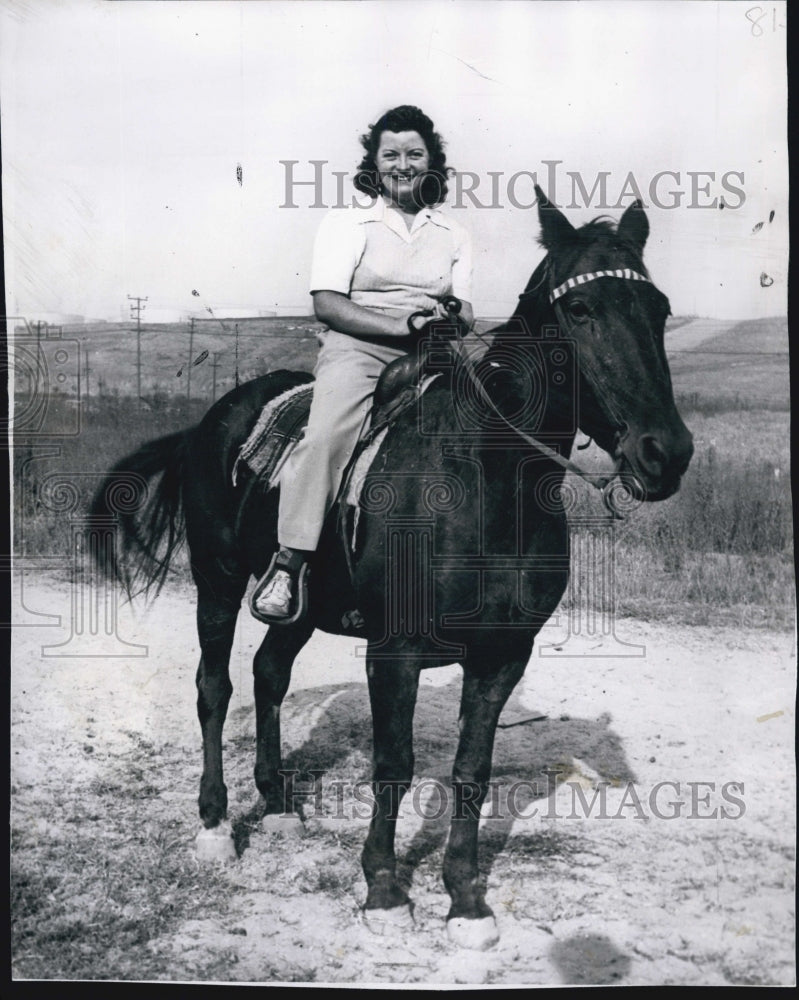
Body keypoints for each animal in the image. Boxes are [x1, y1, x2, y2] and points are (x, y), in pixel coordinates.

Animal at [94, 191, 692, 948]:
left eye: (660, 309)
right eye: (581, 310)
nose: (665, 452)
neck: (481, 479)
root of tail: (213, 419)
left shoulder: (503, 655)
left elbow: (471, 770)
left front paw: (465, 900)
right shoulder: (395, 652)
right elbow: (393, 765)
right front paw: (382, 888)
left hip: (300, 606)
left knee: (268, 673)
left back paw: (278, 805)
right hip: (218, 581)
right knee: (214, 688)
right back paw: (214, 826)